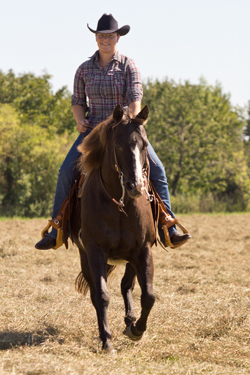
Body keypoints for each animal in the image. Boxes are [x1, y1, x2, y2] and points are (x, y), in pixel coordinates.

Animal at [70, 104, 156, 354]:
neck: (120, 205)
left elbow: (148, 295)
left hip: (130, 258)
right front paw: (106, 340)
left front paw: (136, 330)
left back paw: (130, 321)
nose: (135, 186)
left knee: (127, 285)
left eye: (144, 145)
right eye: (118, 145)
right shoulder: (95, 251)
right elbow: (101, 295)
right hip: (85, 256)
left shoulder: (143, 250)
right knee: (97, 292)